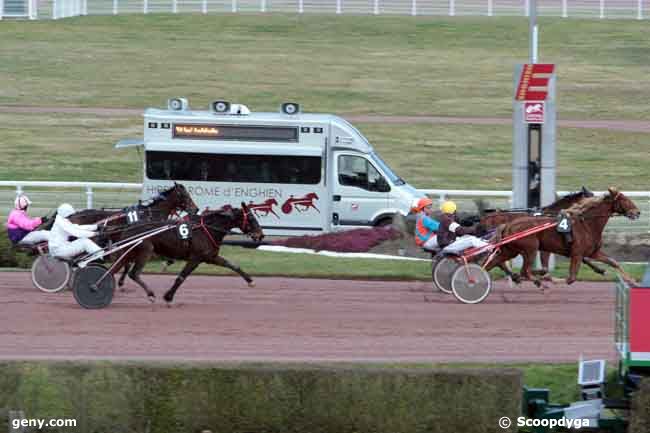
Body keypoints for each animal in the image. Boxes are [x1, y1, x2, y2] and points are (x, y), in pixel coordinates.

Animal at [486, 187, 636, 286]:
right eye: (624, 199)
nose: (637, 212)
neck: (587, 224)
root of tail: (507, 225)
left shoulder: (592, 252)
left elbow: (613, 262)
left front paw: (632, 281)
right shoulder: (576, 253)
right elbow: (570, 278)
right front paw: (547, 278)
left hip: (510, 250)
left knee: (492, 264)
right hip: (530, 249)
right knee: (522, 270)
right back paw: (534, 281)